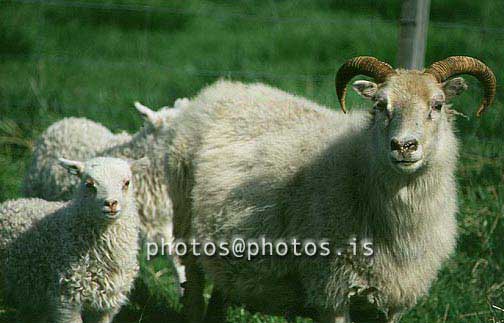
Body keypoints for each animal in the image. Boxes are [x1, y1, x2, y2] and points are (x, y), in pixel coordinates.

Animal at [0, 157, 148, 323]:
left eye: (127, 183)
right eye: (89, 184)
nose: (111, 204)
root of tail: (8, 204)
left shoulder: (107, 305)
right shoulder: (67, 298)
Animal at [167, 57, 498, 322]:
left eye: (437, 105)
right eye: (380, 105)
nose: (404, 146)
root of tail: (221, 88)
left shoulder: (391, 301)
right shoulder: (331, 291)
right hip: (185, 227)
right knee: (193, 289)